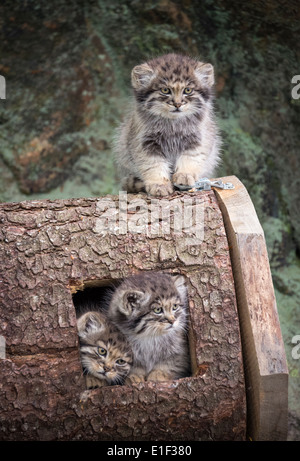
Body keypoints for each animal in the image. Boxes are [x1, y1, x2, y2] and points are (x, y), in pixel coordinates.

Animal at [114, 53, 220, 197]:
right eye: (165, 90)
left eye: (188, 90)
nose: (177, 104)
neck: (173, 124)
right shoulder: (145, 144)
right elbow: (153, 165)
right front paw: (159, 184)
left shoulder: (198, 140)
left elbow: (190, 159)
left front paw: (185, 175)